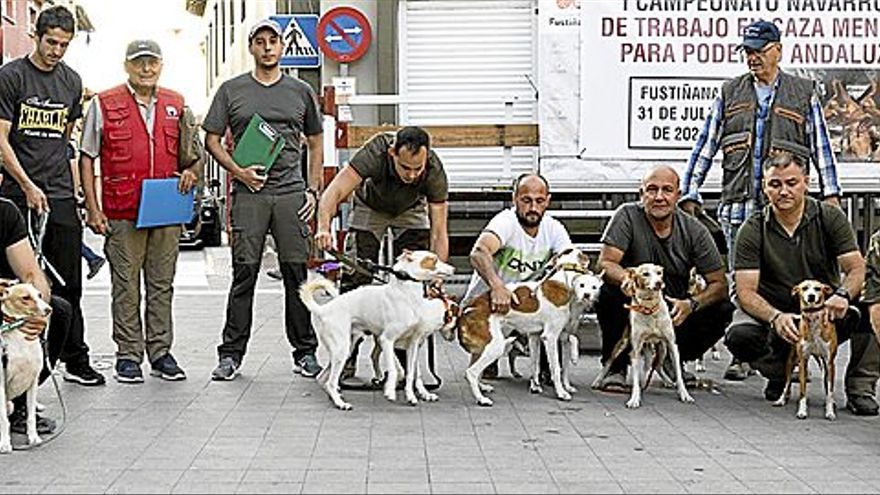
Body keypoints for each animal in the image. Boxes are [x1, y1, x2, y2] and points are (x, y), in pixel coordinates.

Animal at [0, 280, 52, 454]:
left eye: (39, 295)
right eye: (25, 298)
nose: (49, 309)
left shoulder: (32, 381)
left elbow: (30, 417)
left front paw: (33, 437)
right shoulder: (0, 385)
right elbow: (4, 420)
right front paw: (5, 444)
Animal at [300, 252, 458, 410]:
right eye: (433, 260)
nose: (454, 269)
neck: (408, 297)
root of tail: (323, 309)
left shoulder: (412, 346)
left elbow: (412, 374)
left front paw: (413, 395)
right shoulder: (387, 341)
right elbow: (394, 369)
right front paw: (390, 391)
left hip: (346, 349)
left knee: (322, 378)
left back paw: (336, 396)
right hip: (342, 350)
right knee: (330, 381)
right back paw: (340, 403)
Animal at [620, 266, 696, 408]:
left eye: (659, 273)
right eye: (645, 274)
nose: (659, 283)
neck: (649, 309)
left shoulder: (673, 346)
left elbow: (679, 374)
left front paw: (684, 394)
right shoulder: (635, 349)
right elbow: (636, 379)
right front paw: (634, 398)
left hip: (662, 348)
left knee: (658, 366)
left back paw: (667, 381)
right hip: (647, 350)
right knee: (649, 367)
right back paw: (643, 382)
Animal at [776, 280, 840, 420]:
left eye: (818, 289)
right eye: (804, 288)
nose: (811, 296)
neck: (813, 321)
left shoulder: (830, 362)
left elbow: (830, 391)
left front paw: (830, 412)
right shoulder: (803, 361)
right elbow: (802, 391)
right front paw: (802, 411)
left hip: (824, 365)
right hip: (791, 361)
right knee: (787, 383)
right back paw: (781, 399)